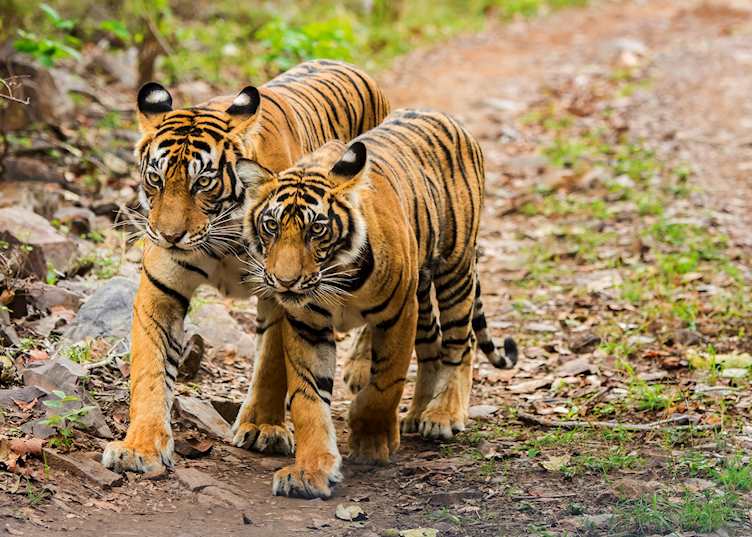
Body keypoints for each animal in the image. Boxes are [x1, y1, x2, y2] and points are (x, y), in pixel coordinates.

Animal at [102, 60, 390, 474]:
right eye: (155, 178)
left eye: (203, 182)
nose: (169, 236)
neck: (219, 237)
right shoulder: (162, 291)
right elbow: (150, 370)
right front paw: (139, 447)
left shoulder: (284, 291)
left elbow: (270, 363)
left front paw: (263, 427)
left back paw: (361, 366)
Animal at [238, 108, 518, 499]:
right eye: (271, 226)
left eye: (316, 230)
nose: (285, 281)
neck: (336, 277)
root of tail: (443, 115)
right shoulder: (306, 324)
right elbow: (309, 400)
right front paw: (310, 471)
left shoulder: (398, 313)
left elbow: (384, 385)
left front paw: (371, 442)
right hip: (423, 290)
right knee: (431, 346)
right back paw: (417, 415)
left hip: (455, 268)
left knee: (462, 342)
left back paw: (443, 415)